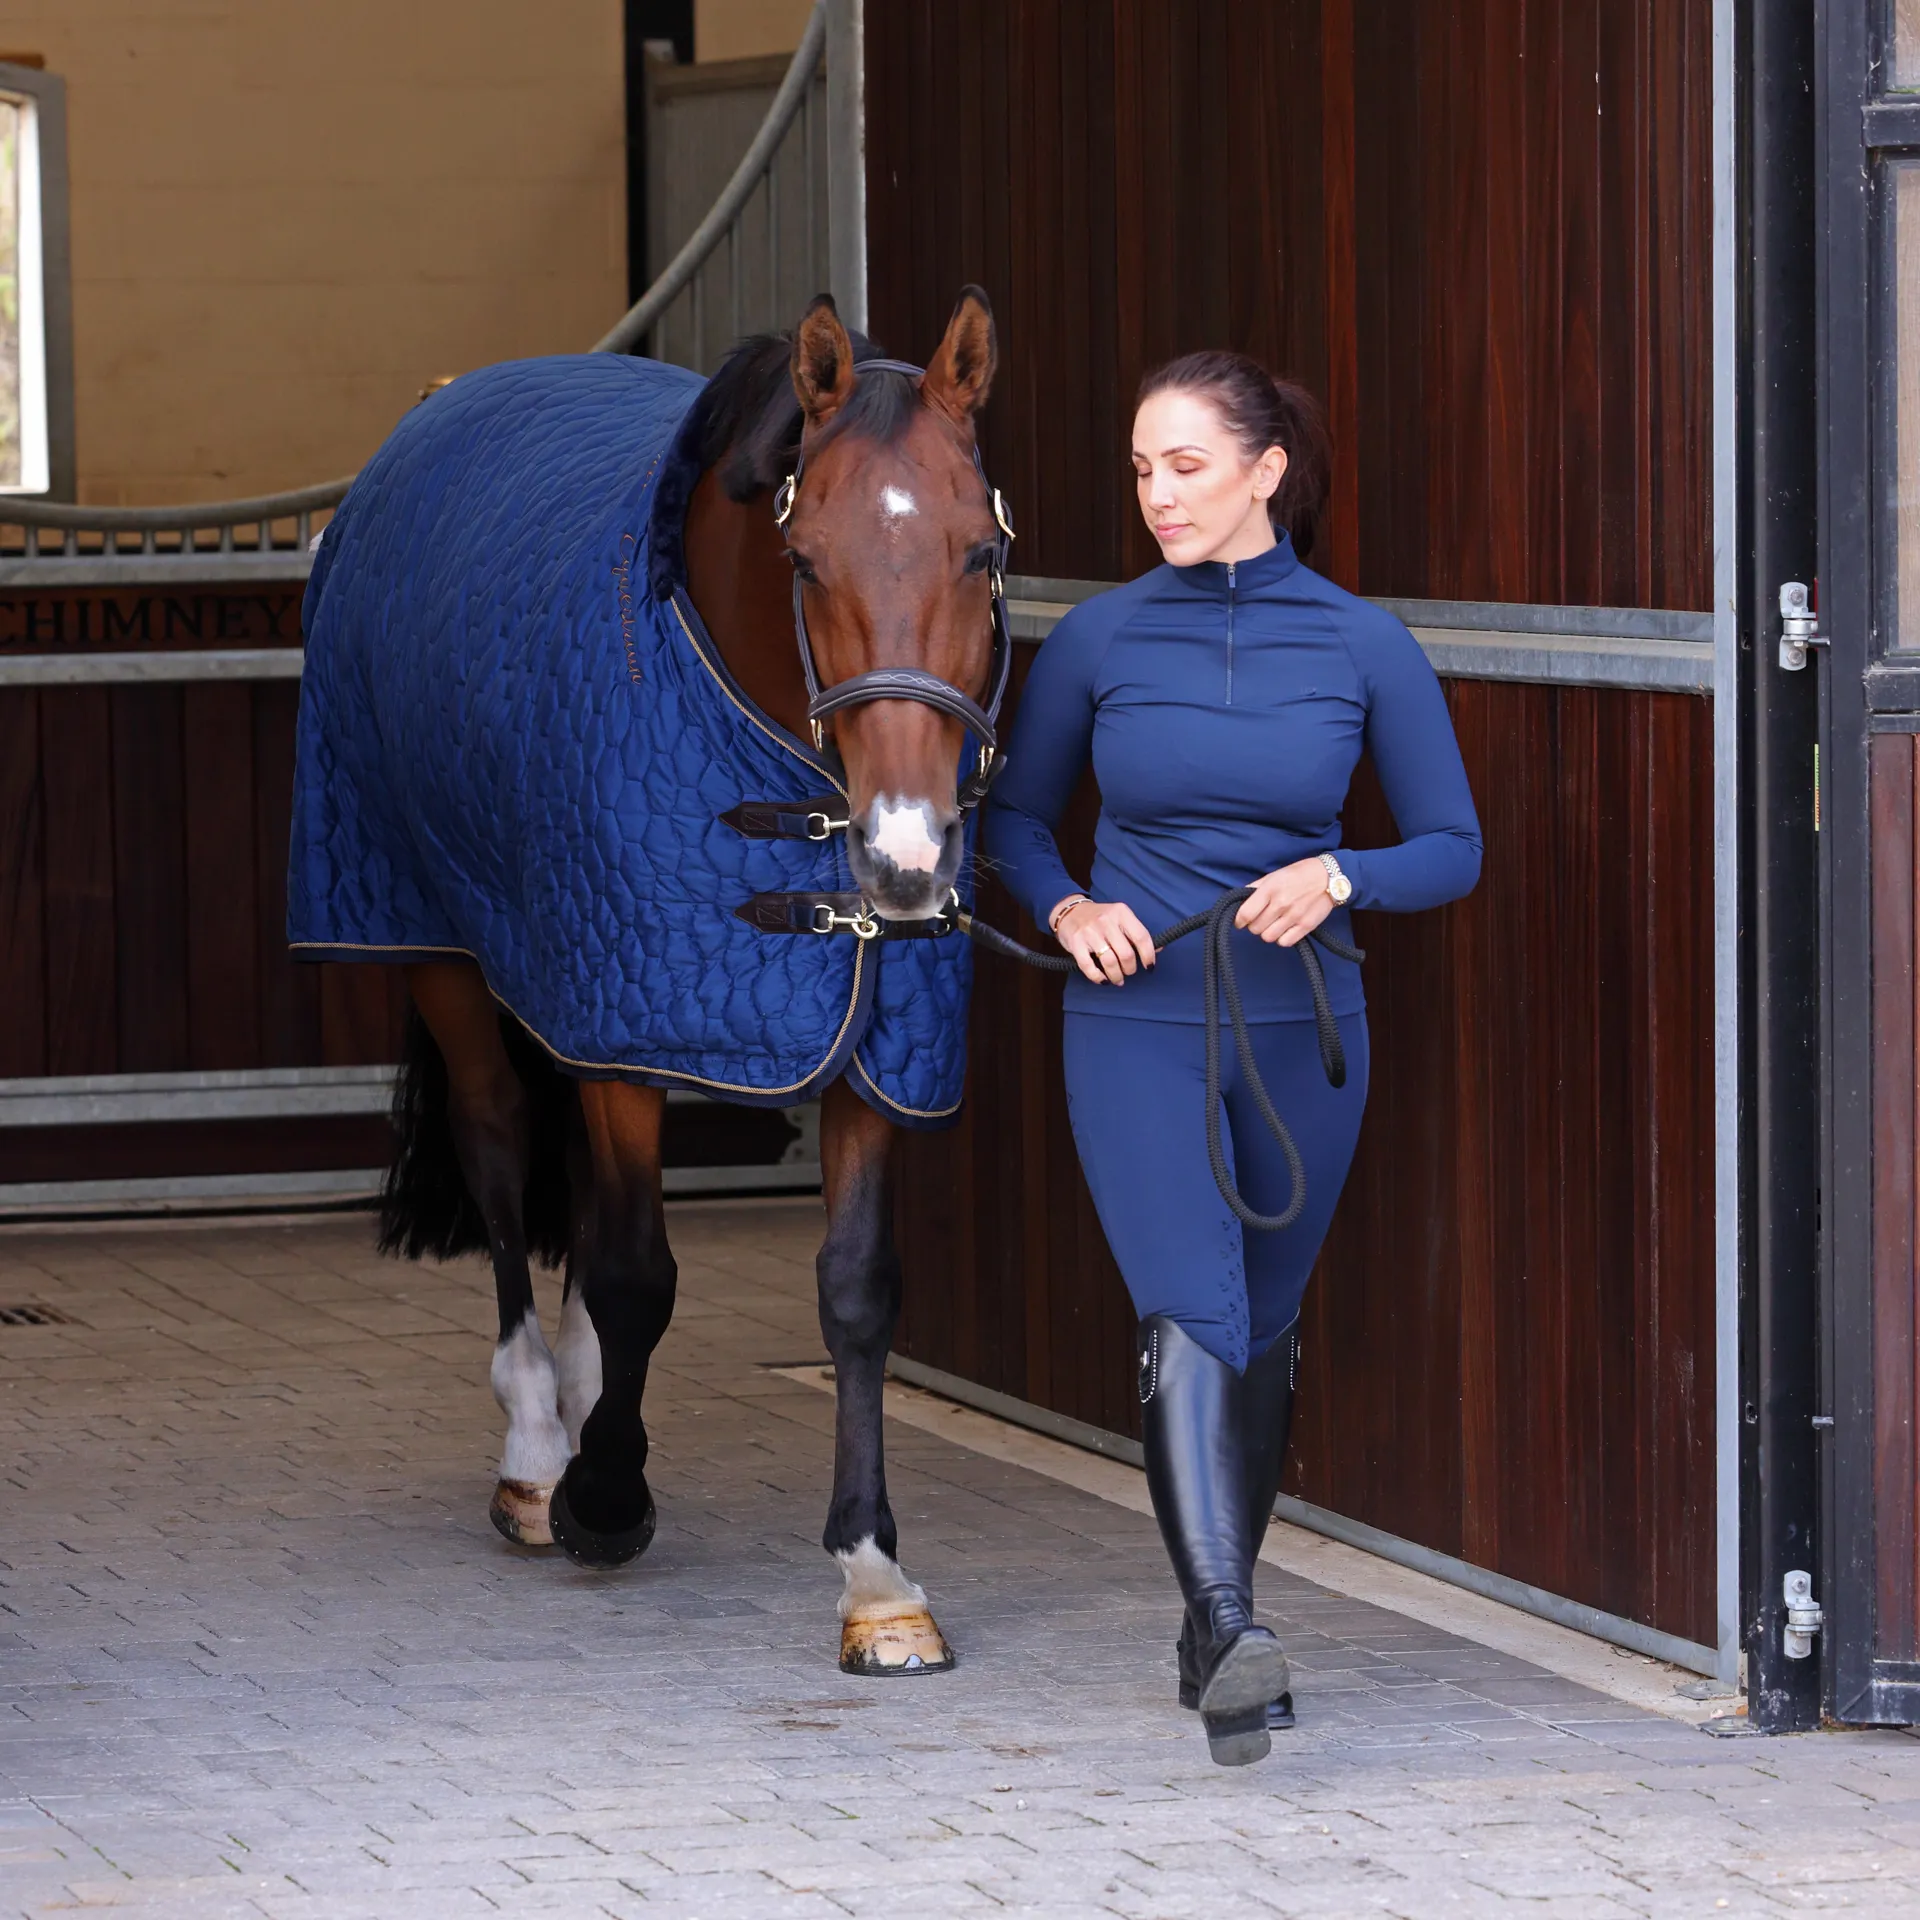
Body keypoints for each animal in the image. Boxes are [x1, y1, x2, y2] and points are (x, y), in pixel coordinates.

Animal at [288, 289, 1005, 1676]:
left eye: (980, 556)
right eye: (805, 564)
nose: (902, 857)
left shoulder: (862, 1032)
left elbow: (856, 1290)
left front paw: (876, 1577)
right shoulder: (627, 1021)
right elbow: (636, 1274)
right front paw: (603, 1497)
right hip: (443, 949)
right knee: (503, 1150)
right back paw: (534, 1444)